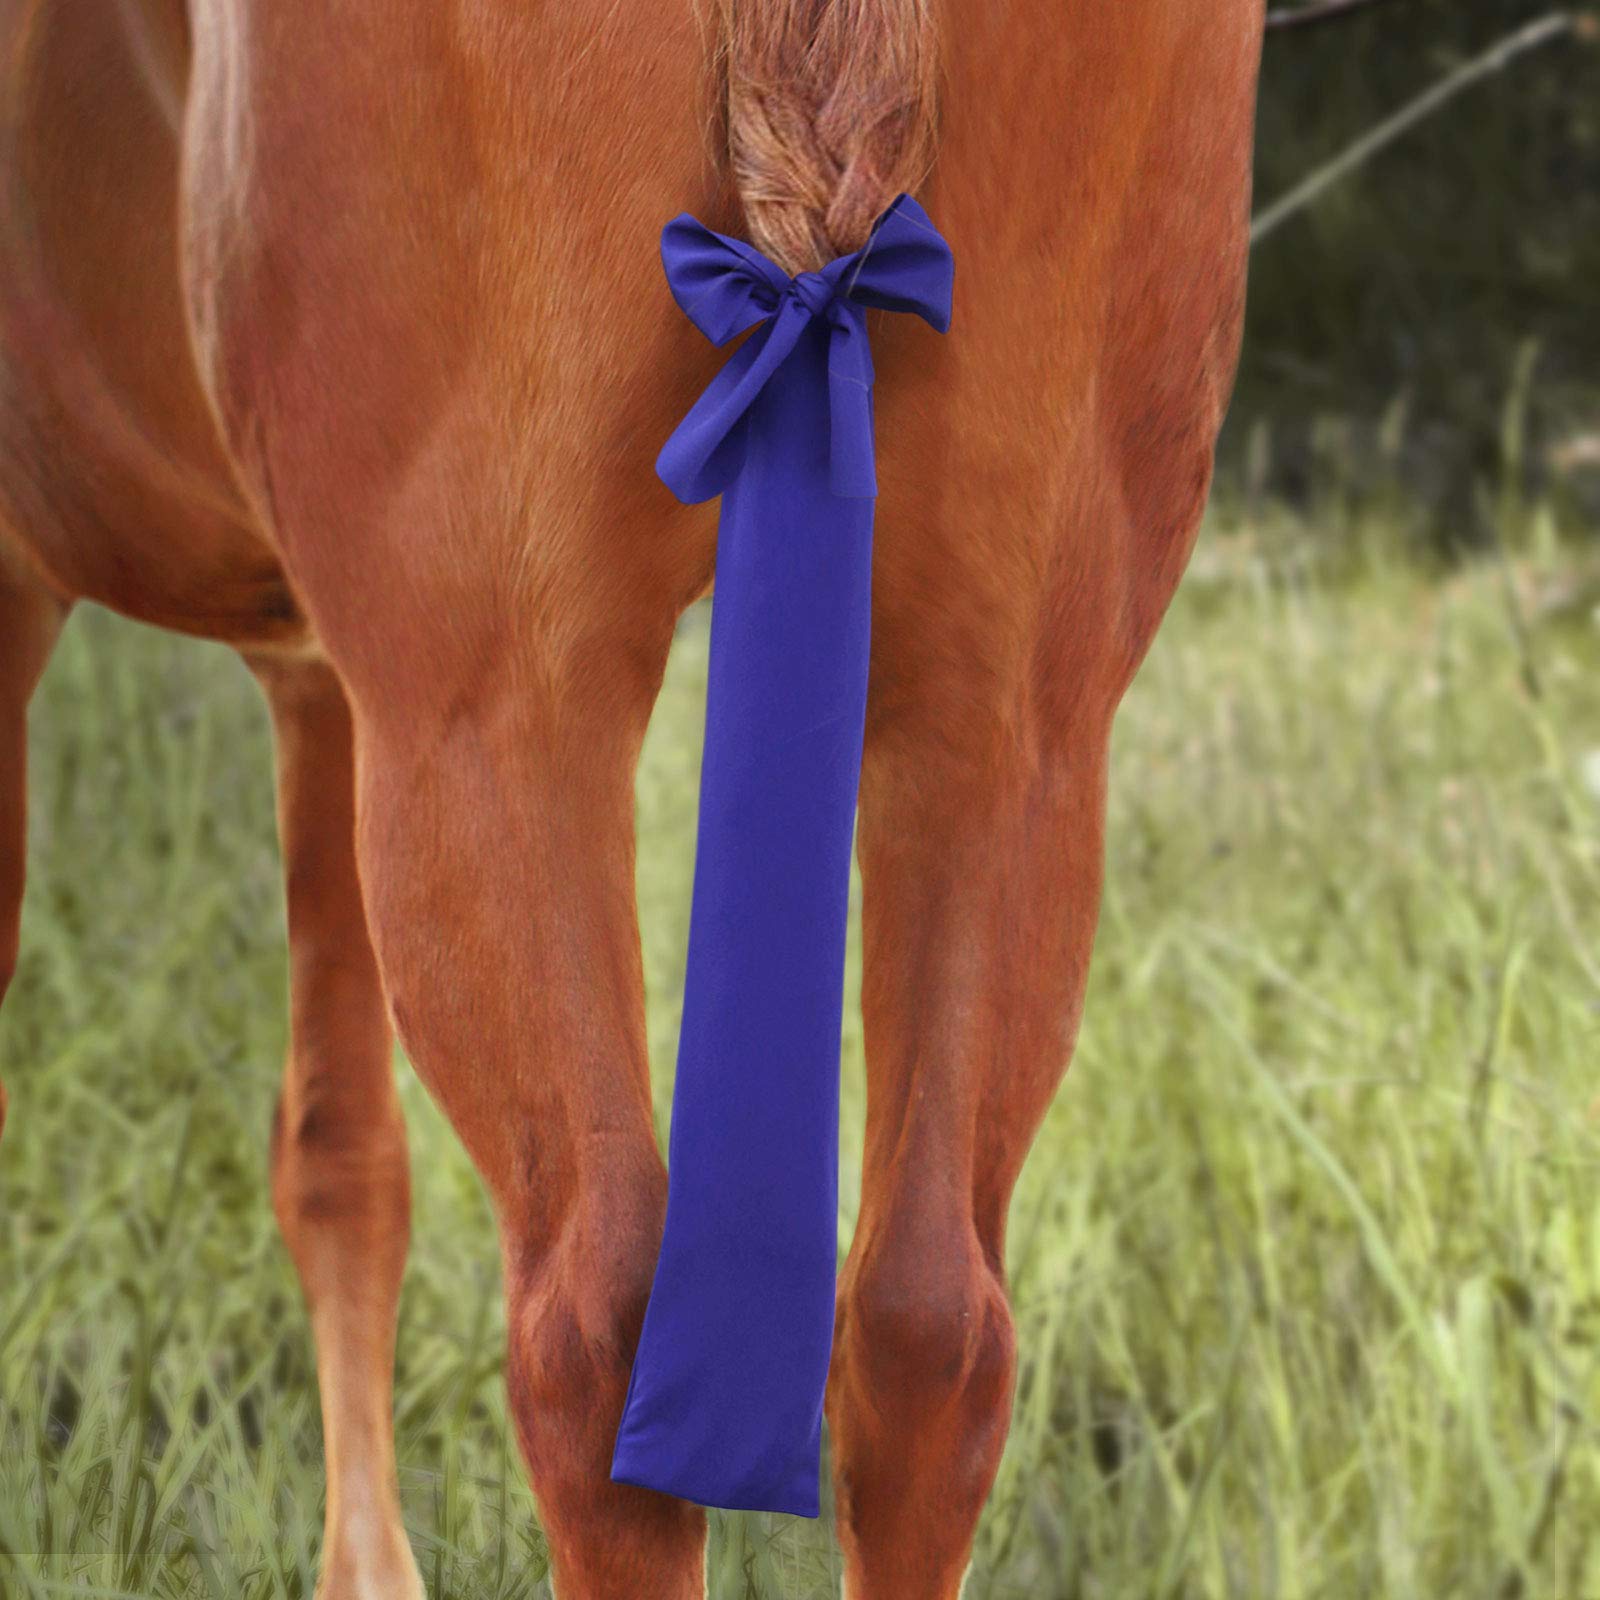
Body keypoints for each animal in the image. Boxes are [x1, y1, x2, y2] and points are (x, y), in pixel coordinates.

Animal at [0, 1, 1263, 1593]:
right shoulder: (318, 684)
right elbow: (342, 1154)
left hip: (490, 719)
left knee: (593, 1333)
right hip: (1010, 722)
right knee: (930, 1331)